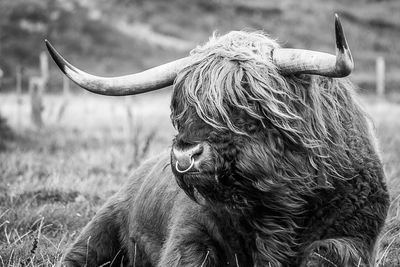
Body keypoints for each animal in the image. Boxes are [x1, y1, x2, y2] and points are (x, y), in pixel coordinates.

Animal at [46, 15, 388, 267]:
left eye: (247, 102)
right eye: (180, 106)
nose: (185, 155)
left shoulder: (352, 236)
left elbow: (324, 253)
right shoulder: (190, 235)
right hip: (97, 232)